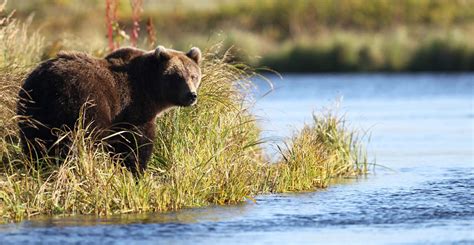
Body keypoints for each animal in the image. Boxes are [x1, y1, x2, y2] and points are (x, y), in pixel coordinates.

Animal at [16, 45, 201, 172]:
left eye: (193, 76)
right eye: (176, 77)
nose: (191, 95)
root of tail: (45, 83)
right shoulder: (134, 109)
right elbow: (137, 143)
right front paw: (136, 170)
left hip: (32, 108)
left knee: (34, 142)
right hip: (82, 102)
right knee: (82, 140)